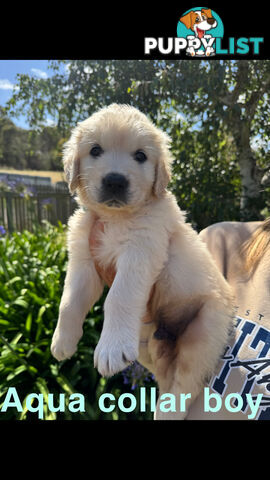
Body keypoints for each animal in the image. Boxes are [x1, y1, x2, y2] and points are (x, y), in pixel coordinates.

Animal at [51, 103, 234, 418]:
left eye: (140, 156)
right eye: (95, 150)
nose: (115, 180)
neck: (116, 218)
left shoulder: (141, 251)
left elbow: (119, 297)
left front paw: (110, 348)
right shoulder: (84, 259)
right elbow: (69, 301)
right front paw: (62, 340)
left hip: (204, 333)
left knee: (184, 383)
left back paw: (167, 411)